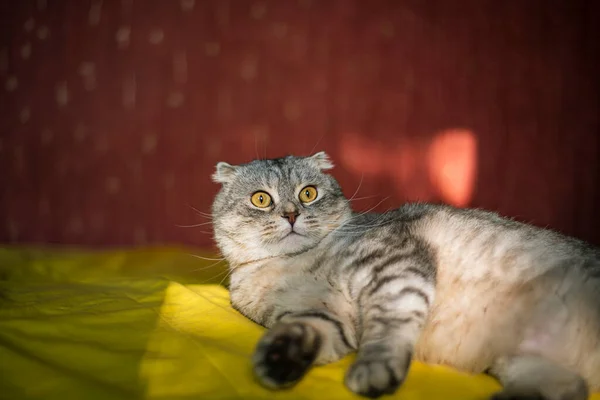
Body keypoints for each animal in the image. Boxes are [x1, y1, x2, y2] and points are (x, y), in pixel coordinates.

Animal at [211, 152, 600, 398]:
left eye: (308, 193)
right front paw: (278, 360)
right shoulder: (319, 315)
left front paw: (375, 371)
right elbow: (306, 331)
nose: (292, 215)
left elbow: (387, 328)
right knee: (570, 388)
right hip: (523, 362)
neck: (292, 264)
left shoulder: (392, 267)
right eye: (261, 199)